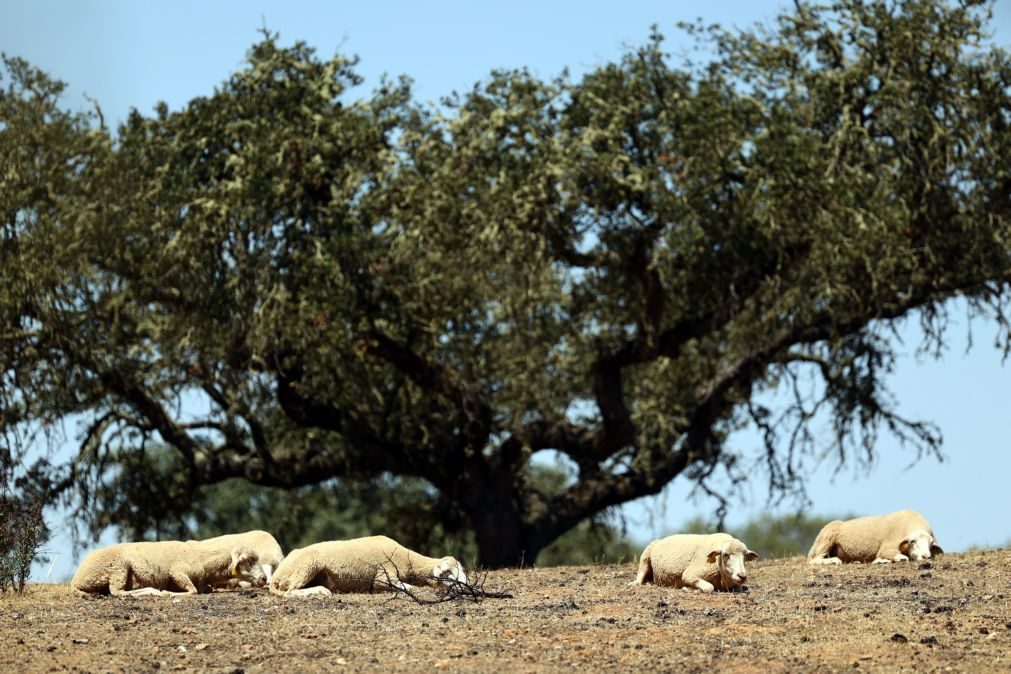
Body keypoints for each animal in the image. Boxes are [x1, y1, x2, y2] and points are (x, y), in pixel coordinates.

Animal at [70, 541, 264, 598]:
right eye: (247, 560)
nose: (264, 579)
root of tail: (76, 579)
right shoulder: (177, 572)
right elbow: (193, 591)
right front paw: (170, 593)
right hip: (118, 567)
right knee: (117, 592)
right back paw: (153, 591)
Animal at [266, 533, 467, 598]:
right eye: (447, 572)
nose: (466, 587)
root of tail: (277, 576)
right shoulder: (383, 577)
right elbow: (408, 588)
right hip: (306, 565)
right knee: (290, 592)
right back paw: (321, 591)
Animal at [630, 533, 760, 594]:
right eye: (725, 555)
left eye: (745, 556)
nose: (742, 576)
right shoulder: (690, 574)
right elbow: (709, 587)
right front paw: (688, 589)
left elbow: (740, 589)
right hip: (645, 555)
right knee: (640, 574)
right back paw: (637, 583)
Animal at [804, 509, 938, 565]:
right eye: (912, 541)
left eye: (931, 544)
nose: (926, 557)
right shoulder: (887, 548)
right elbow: (902, 558)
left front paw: (880, 561)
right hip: (826, 538)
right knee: (813, 560)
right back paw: (833, 561)